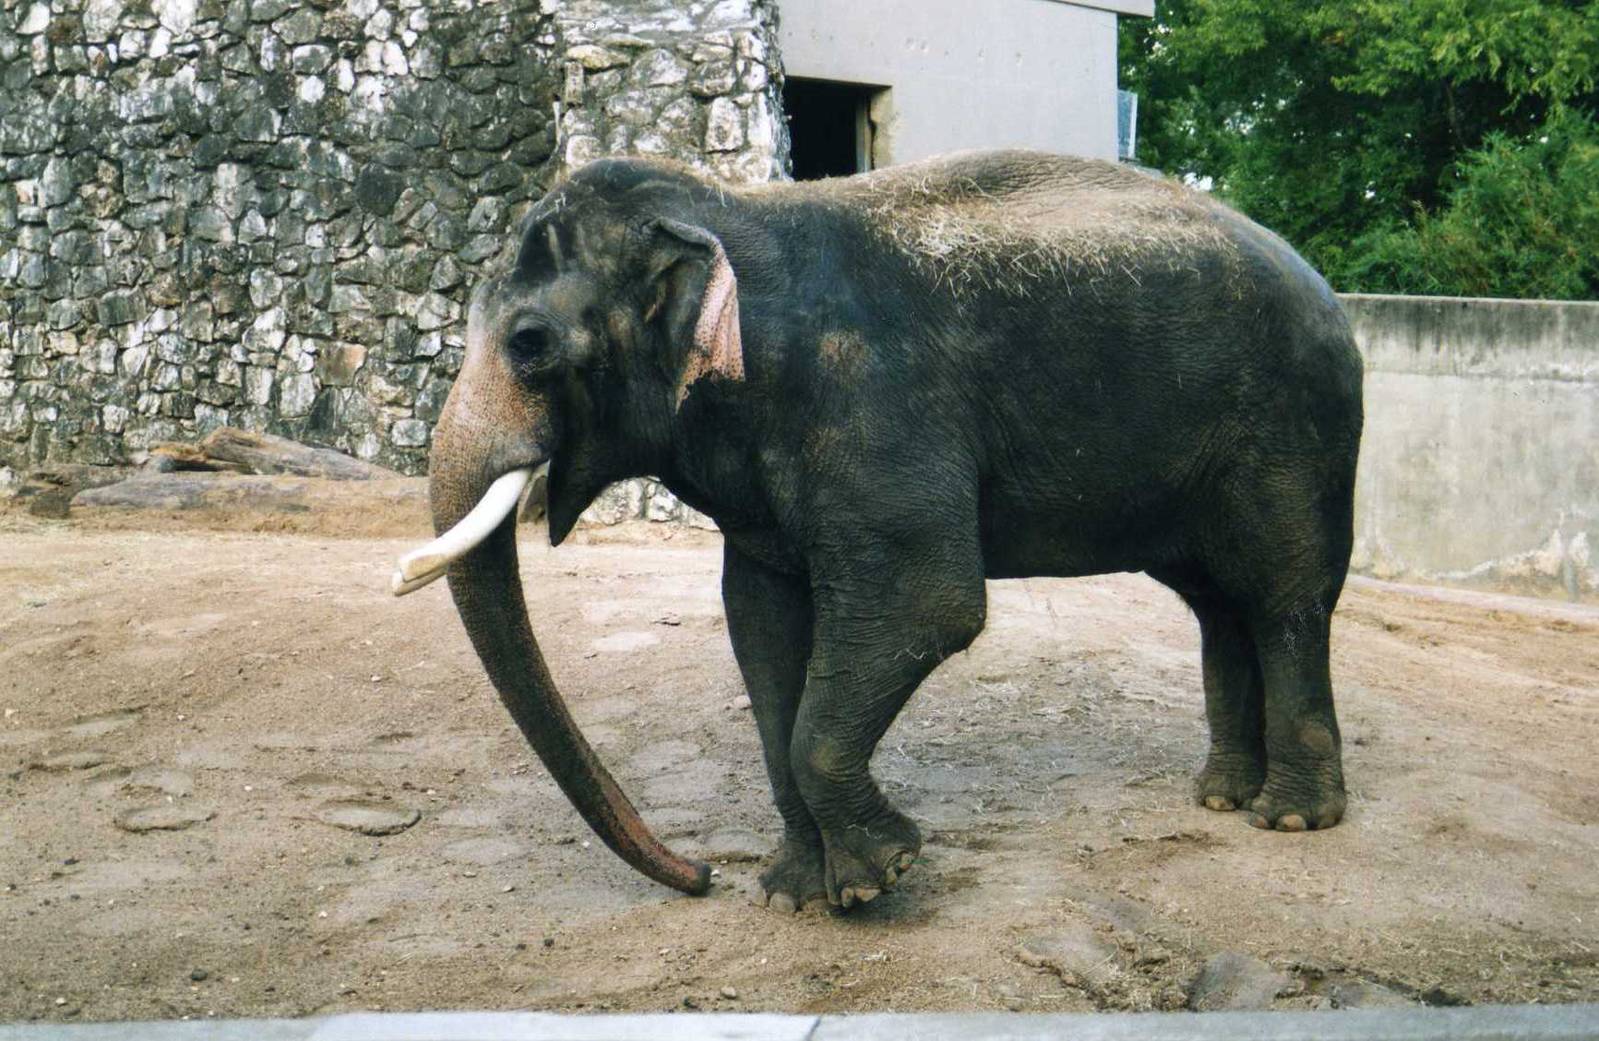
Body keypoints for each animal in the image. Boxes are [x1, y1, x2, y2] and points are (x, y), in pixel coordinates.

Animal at [391, 150, 1364, 911]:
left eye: (529, 343)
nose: (700, 873)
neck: (730, 210)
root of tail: (1324, 286)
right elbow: (761, 623)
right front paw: (795, 893)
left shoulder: (875, 404)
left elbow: (927, 604)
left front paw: (879, 876)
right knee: (1218, 603)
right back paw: (1220, 798)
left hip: (1294, 432)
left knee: (1284, 597)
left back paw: (1289, 816)